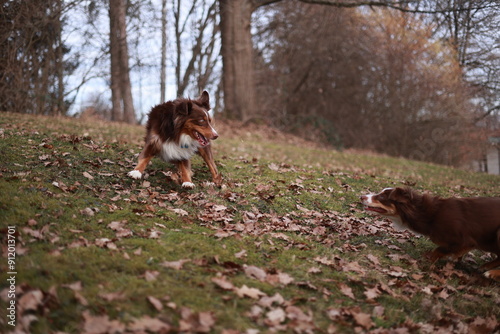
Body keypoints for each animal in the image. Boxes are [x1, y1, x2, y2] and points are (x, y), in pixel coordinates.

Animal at [360, 188, 500, 280]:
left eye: (382, 197)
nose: (361, 196)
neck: (430, 215)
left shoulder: (464, 240)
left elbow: (439, 249)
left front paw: (427, 261)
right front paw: (454, 259)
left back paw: (491, 273)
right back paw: (485, 267)